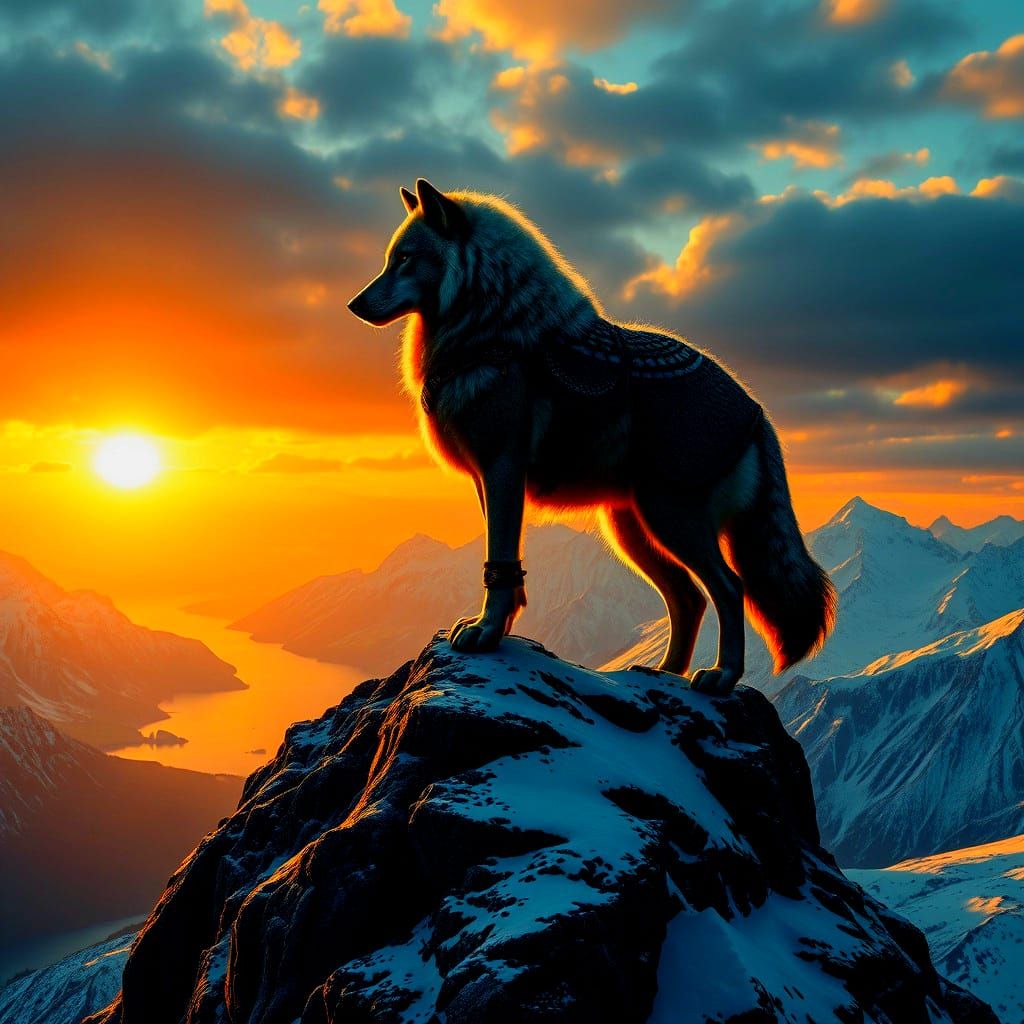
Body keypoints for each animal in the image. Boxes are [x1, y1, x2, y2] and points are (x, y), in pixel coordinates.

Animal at [348, 179, 835, 694]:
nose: (353, 305)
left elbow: (499, 561)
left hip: (670, 521)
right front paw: (498, 628)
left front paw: (486, 631)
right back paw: (662, 672)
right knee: (689, 597)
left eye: (404, 259)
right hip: (633, 530)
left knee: (729, 586)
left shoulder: (503, 469)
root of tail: (758, 412)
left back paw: (721, 675)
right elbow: (506, 566)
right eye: (389, 259)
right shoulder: (487, 480)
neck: (492, 330)